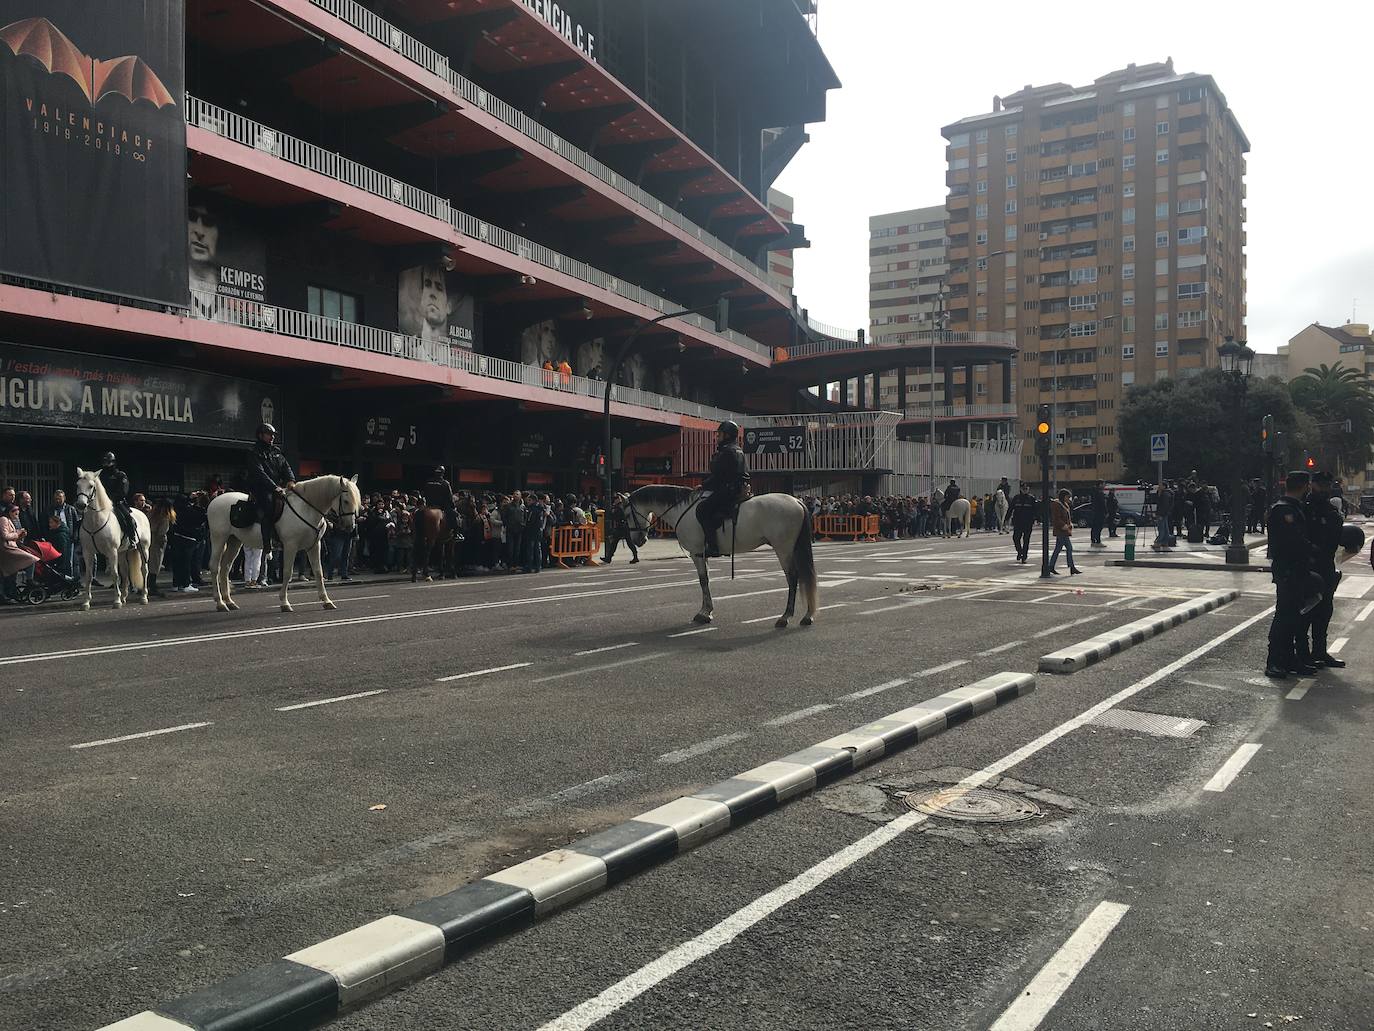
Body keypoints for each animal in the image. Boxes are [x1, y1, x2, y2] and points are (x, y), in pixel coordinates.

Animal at [72, 470, 151, 613]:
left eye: (91, 486)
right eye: (77, 484)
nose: (81, 505)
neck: (96, 521)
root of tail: (142, 513)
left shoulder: (111, 552)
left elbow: (114, 574)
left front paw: (116, 601)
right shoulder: (88, 553)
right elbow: (88, 576)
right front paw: (86, 603)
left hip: (143, 549)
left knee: (144, 570)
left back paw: (143, 597)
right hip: (122, 553)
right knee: (125, 572)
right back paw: (124, 597)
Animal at [206, 475, 359, 613]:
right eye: (346, 501)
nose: (350, 527)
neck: (306, 509)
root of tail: (214, 501)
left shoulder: (314, 546)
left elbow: (318, 572)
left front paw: (326, 601)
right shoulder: (291, 546)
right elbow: (287, 572)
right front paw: (285, 603)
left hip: (234, 541)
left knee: (225, 568)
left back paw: (229, 602)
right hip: (219, 538)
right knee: (215, 567)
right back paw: (220, 603)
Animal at [623, 486, 813, 629]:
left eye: (626, 515)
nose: (638, 540)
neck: (682, 510)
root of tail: (797, 501)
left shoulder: (697, 554)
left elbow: (703, 580)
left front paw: (704, 613)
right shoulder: (702, 555)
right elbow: (706, 580)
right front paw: (707, 611)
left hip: (783, 548)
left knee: (793, 577)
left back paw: (785, 617)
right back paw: (807, 615)